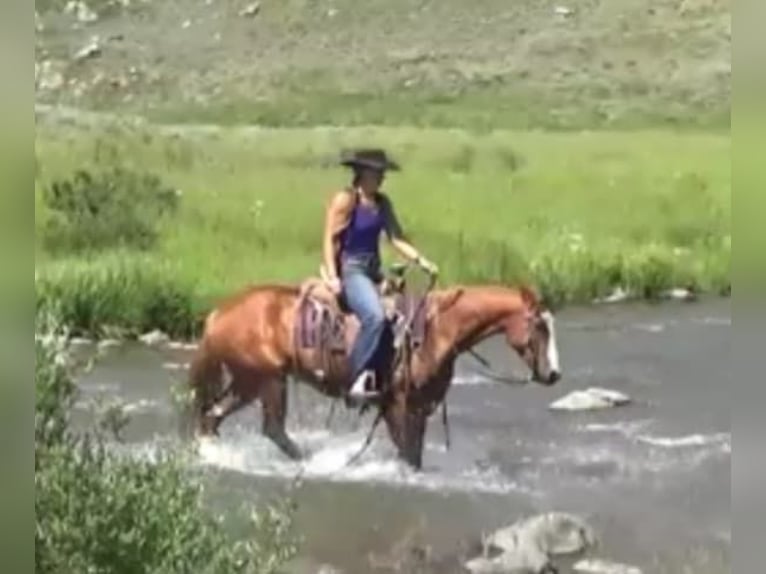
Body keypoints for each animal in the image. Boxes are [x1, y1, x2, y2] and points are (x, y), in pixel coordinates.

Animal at [189, 280, 564, 472]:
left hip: (249, 382)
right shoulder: (397, 404)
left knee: (215, 417)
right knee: (266, 427)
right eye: (540, 326)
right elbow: (408, 456)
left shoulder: (419, 407)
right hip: (266, 380)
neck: (438, 331)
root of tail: (218, 313)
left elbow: (414, 453)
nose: (554, 374)